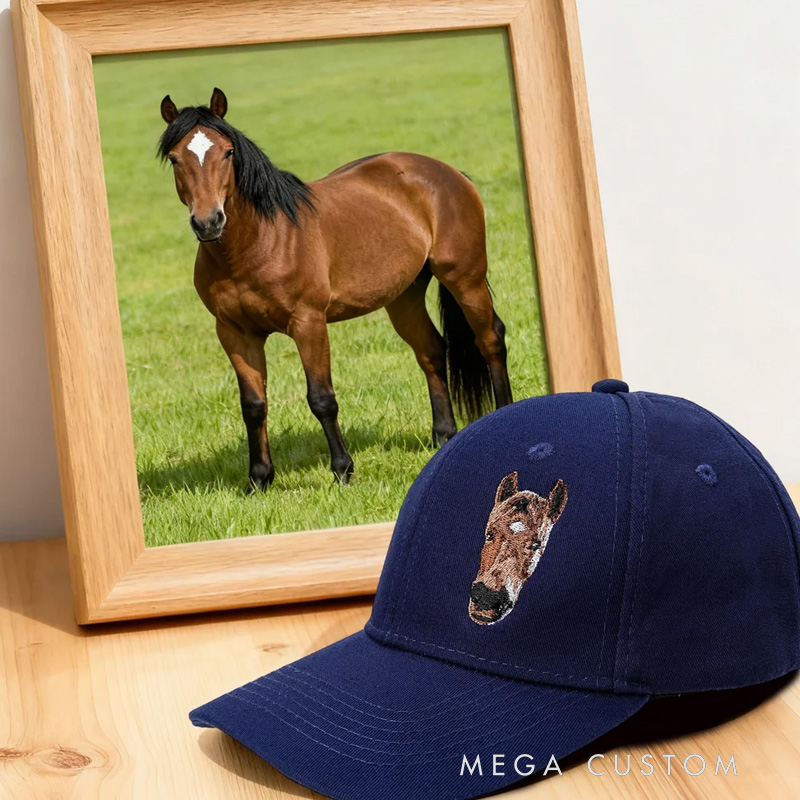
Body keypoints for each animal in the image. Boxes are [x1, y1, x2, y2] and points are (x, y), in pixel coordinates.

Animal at [158, 87, 513, 490]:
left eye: (228, 152)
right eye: (174, 158)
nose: (208, 222)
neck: (260, 242)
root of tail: (448, 172)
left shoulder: (308, 323)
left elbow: (321, 398)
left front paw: (342, 471)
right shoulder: (234, 333)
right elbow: (253, 405)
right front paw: (259, 480)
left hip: (465, 278)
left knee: (490, 340)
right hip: (403, 297)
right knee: (432, 352)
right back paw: (443, 437)